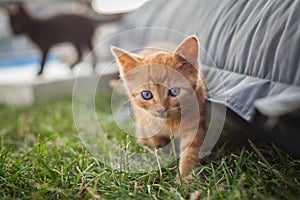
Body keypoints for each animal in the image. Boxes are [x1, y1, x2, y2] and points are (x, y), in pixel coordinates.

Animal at [110, 35, 206, 176]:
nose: (161, 109)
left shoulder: (195, 123)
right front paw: (162, 158)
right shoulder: (149, 123)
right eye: (146, 95)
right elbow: (157, 143)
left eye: (174, 91)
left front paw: (185, 177)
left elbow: (190, 152)